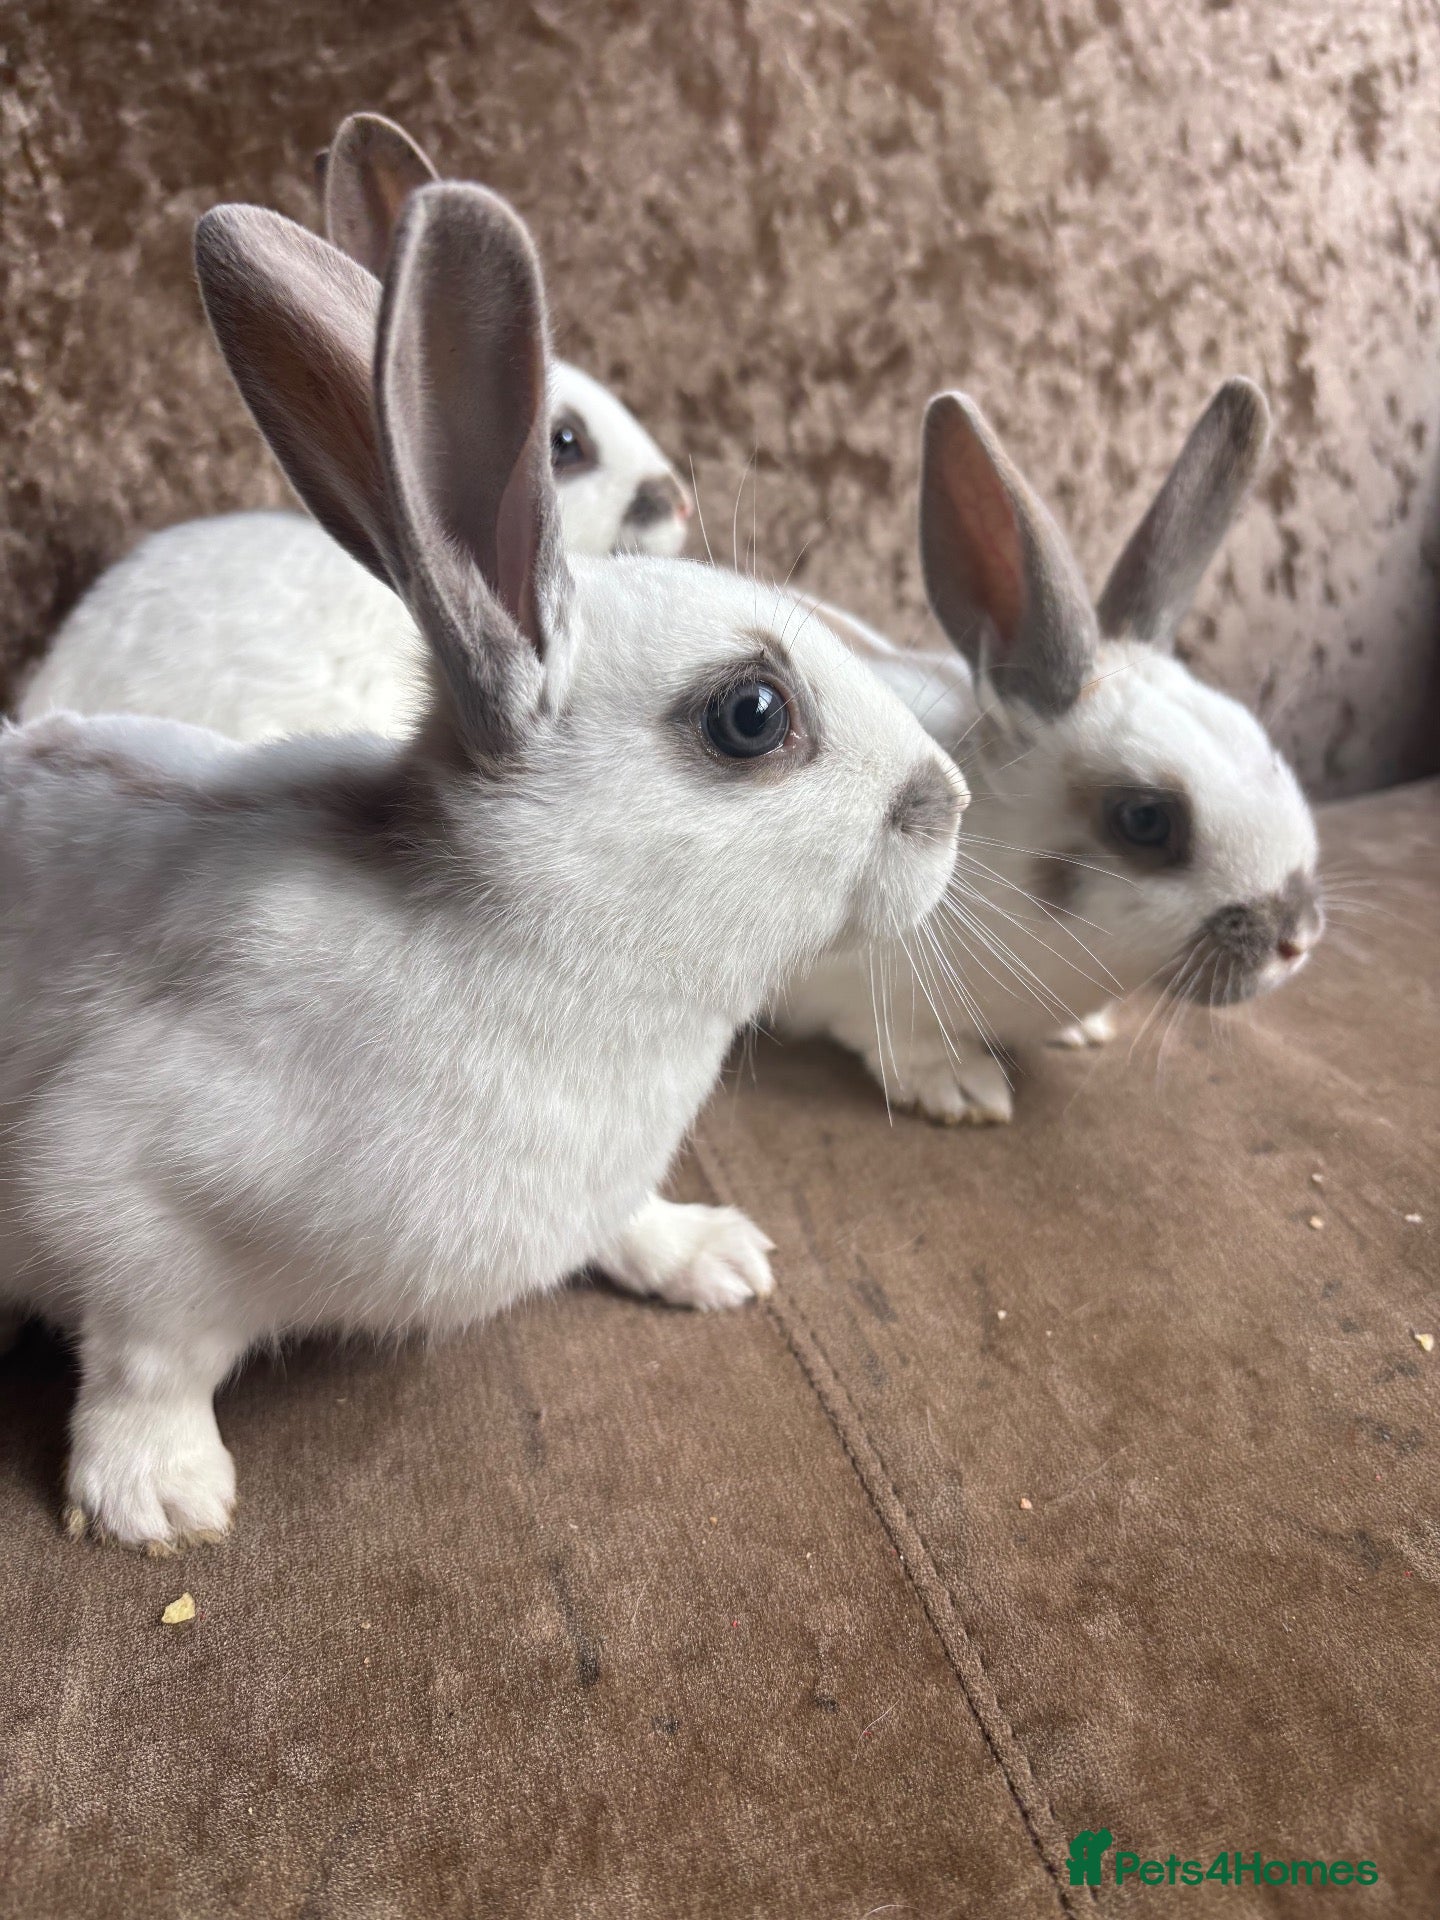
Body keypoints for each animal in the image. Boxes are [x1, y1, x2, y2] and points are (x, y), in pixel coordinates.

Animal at [0, 183, 967, 1551]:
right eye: (752, 714)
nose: (951, 801)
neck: (531, 947)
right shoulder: (115, 1193)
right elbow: (149, 1357)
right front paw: (160, 1500)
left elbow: (629, 1220)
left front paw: (714, 1259)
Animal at [776, 378, 1323, 1125]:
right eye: (1145, 820)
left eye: (1261, 744)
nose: (1296, 940)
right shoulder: (858, 987)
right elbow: (895, 1039)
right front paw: (961, 1089)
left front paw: (1083, 1032)